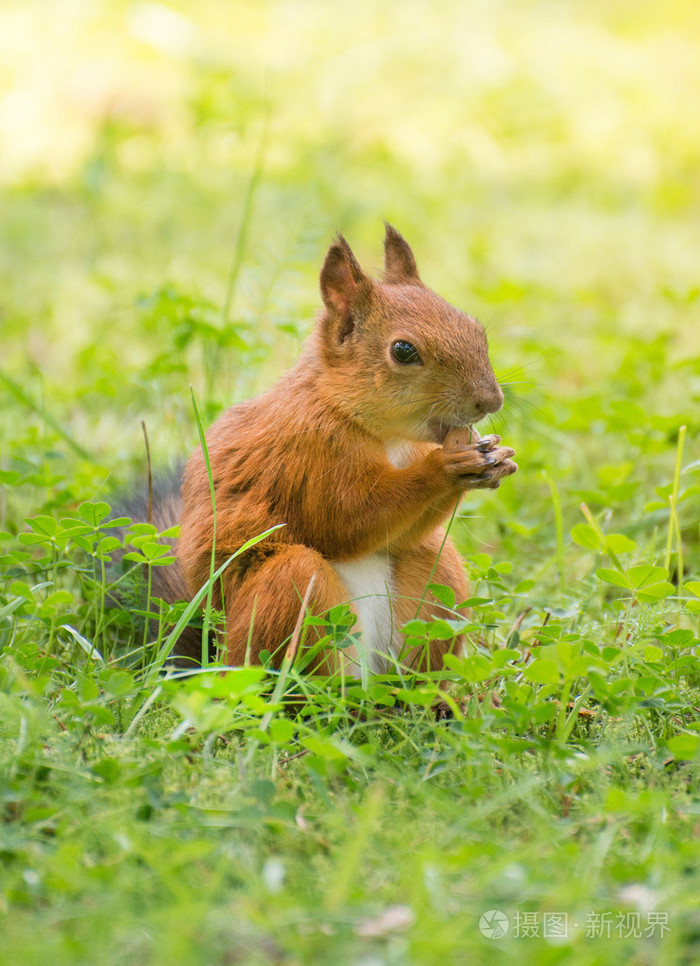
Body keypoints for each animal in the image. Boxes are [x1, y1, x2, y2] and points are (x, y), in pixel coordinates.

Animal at [172, 228, 516, 676]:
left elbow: (396, 531)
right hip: (286, 592)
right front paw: (444, 467)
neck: (384, 434)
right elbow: (347, 518)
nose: (490, 401)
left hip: (439, 580)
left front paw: (498, 460)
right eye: (403, 351)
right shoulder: (305, 454)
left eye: (476, 329)